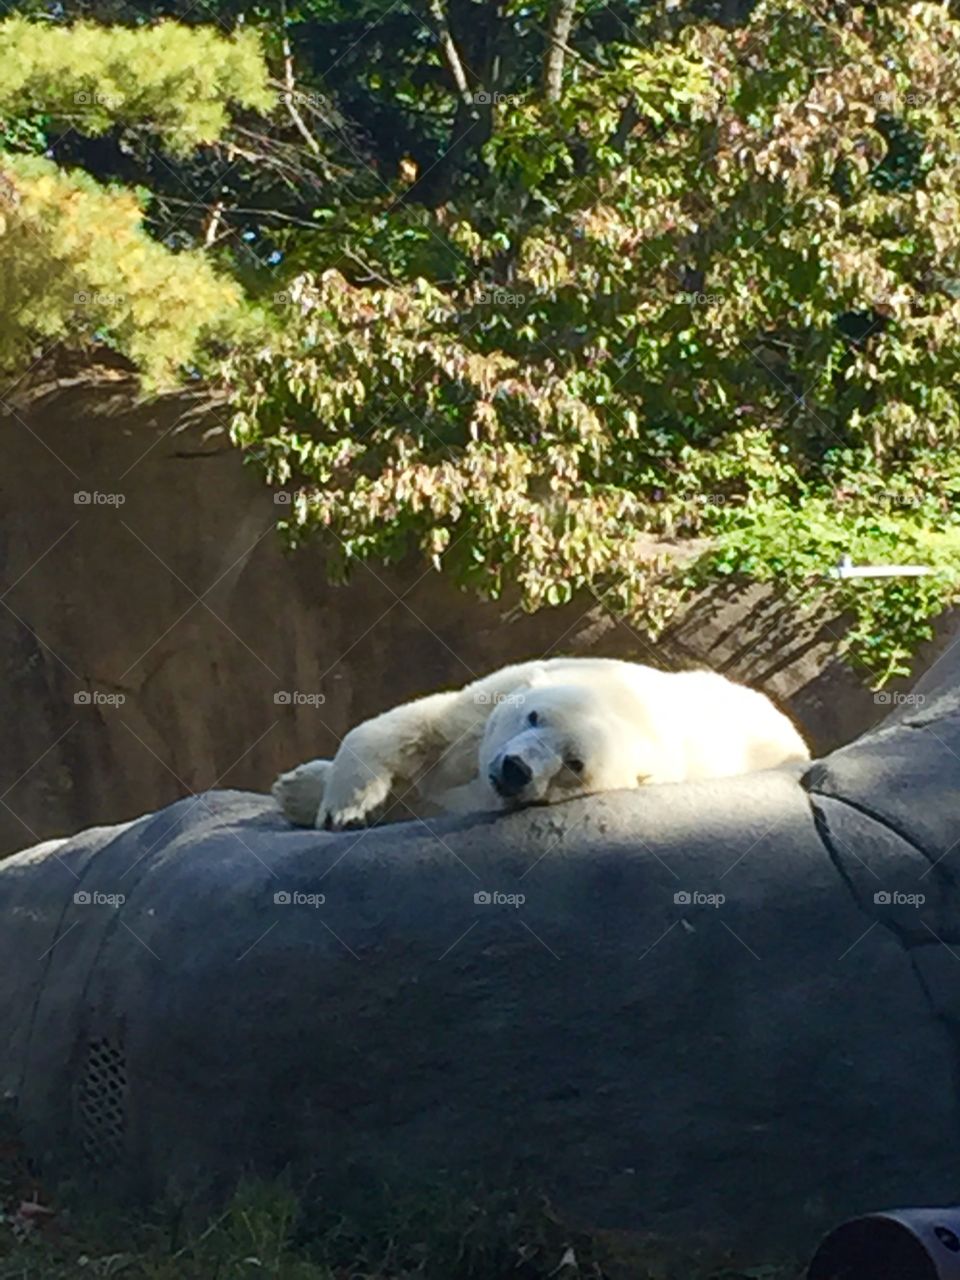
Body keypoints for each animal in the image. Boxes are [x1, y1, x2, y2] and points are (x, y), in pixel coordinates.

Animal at [272, 656, 810, 831]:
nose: (516, 769)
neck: (629, 703)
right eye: (534, 716)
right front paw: (320, 797)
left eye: (573, 764)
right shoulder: (483, 708)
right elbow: (414, 724)